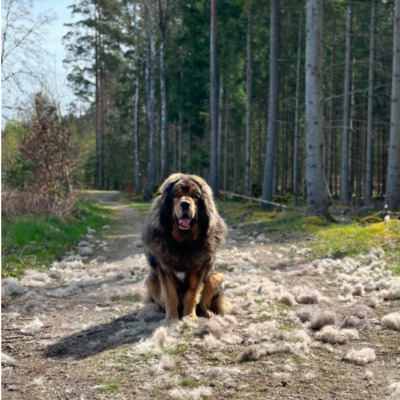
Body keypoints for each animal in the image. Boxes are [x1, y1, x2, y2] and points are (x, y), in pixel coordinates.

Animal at [141, 173, 228, 320]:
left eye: (194, 196)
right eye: (176, 195)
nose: (185, 203)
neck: (183, 242)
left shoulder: (199, 270)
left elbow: (192, 296)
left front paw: (190, 317)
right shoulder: (164, 270)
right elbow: (170, 296)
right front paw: (171, 318)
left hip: (214, 277)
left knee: (203, 302)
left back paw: (206, 312)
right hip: (151, 280)